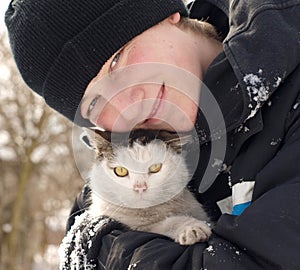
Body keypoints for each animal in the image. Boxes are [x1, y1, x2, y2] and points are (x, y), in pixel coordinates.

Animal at [83, 128, 212, 245]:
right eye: (120, 171)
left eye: (155, 167)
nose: (140, 187)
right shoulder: (140, 227)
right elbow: (166, 224)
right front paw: (192, 228)